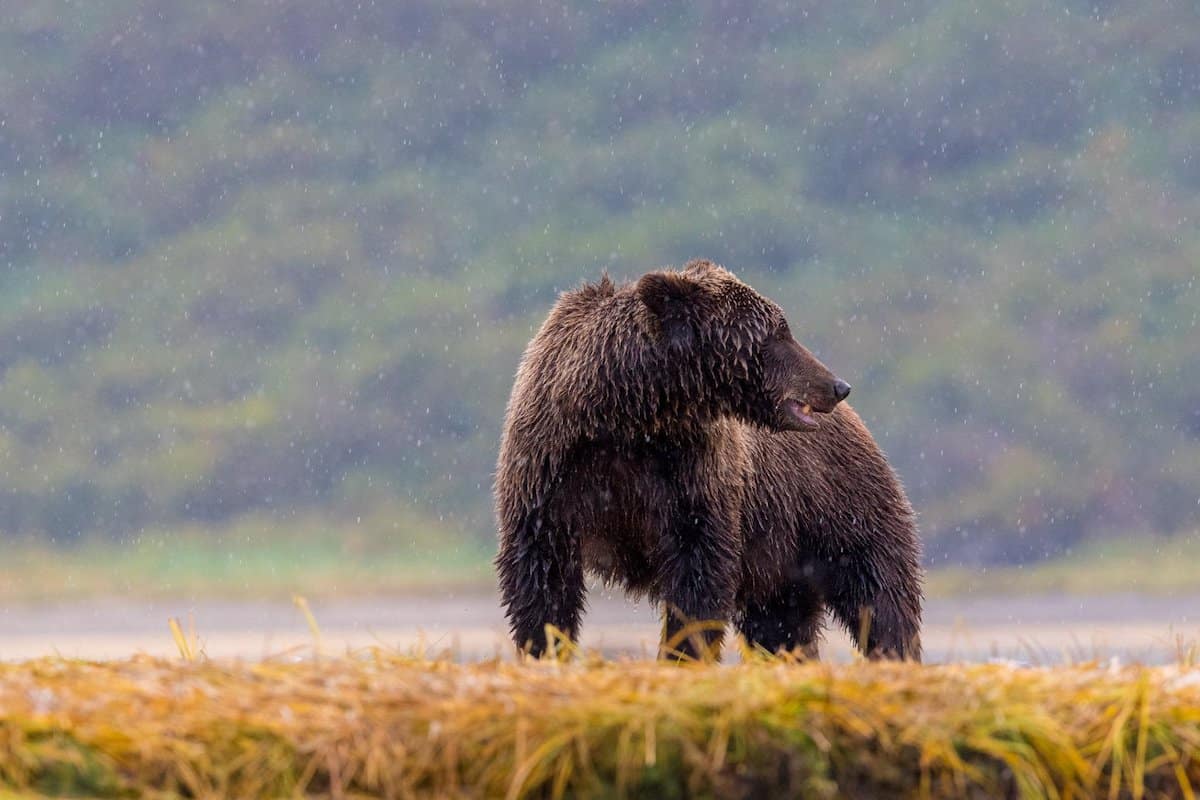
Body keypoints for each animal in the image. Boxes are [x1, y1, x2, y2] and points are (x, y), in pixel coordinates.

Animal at [492, 260, 921, 662]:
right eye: (777, 333)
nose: (837, 385)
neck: (628, 417)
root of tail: (860, 427)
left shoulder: (693, 473)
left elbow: (698, 576)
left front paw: (682, 653)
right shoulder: (551, 470)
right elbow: (541, 577)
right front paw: (543, 647)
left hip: (837, 508)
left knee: (878, 594)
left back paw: (894, 653)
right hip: (783, 560)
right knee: (781, 626)